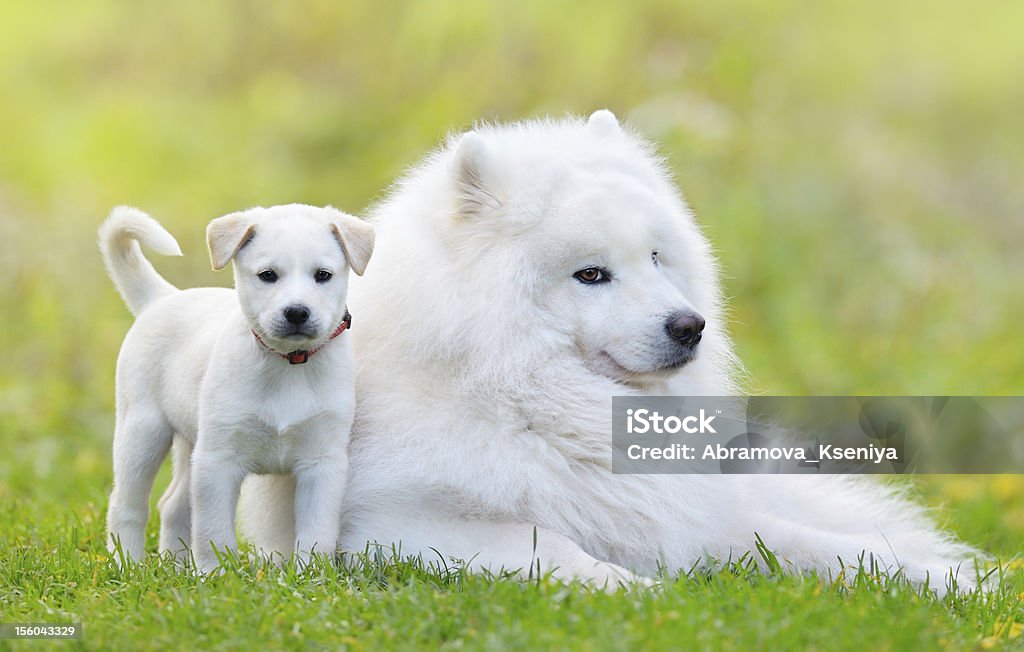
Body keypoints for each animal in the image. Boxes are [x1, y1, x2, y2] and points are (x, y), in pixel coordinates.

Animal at [96, 202, 372, 569]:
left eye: (323, 275)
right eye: (268, 275)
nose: (297, 312)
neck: (288, 365)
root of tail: (161, 298)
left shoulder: (322, 463)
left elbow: (317, 531)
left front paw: (309, 574)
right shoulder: (217, 460)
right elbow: (213, 531)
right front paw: (212, 574)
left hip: (188, 443)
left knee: (172, 505)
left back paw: (175, 566)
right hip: (142, 432)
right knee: (127, 506)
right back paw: (128, 564)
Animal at [237, 110, 974, 589]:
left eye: (654, 258)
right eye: (591, 274)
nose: (691, 326)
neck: (527, 401)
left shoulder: (688, 516)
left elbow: (819, 547)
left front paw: (951, 578)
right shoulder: (395, 526)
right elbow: (558, 549)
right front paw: (647, 596)